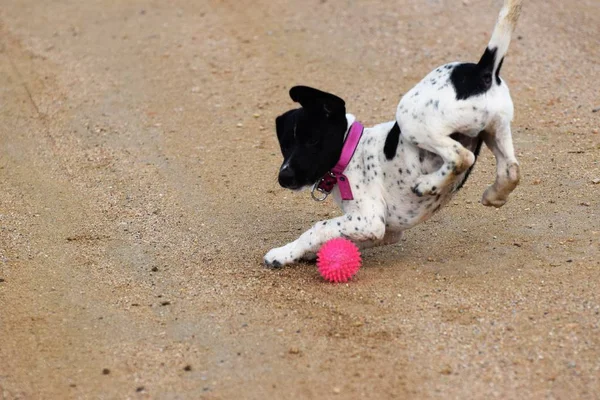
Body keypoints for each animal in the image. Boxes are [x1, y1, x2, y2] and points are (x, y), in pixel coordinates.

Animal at [264, 0, 524, 268]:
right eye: (285, 145)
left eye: (313, 140)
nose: (284, 177)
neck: (350, 153)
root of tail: (482, 71)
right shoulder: (384, 231)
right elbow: (336, 238)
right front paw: (303, 254)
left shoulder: (369, 220)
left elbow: (318, 228)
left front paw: (282, 253)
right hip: (496, 129)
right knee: (511, 170)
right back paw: (494, 194)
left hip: (410, 117)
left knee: (462, 156)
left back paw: (427, 184)